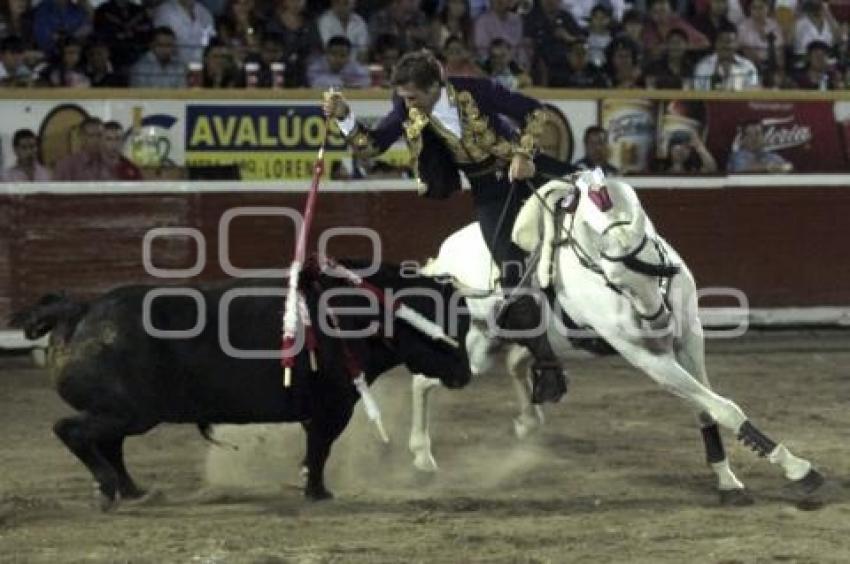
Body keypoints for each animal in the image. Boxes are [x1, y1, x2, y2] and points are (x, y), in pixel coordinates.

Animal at [8, 262, 470, 508]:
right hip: (131, 412)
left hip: (124, 412)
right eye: (444, 329)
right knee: (72, 431)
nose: (465, 375)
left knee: (109, 444)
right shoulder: (333, 408)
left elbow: (315, 450)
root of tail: (82, 310)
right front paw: (318, 492)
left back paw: (132, 490)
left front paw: (313, 488)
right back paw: (109, 489)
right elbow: (320, 450)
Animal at [410, 170, 820, 504]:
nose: (658, 323)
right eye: (614, 280)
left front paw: (726, 478)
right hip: (478, 350)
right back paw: (422, 456)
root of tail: (444, 256)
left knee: (515, 364)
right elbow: (723, 407)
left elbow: (706, 407)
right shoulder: (647, 356)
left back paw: (527, 419)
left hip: (523, 344)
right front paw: (799, 468)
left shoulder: (689, 339)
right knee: (424, 380)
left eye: (655, 263)